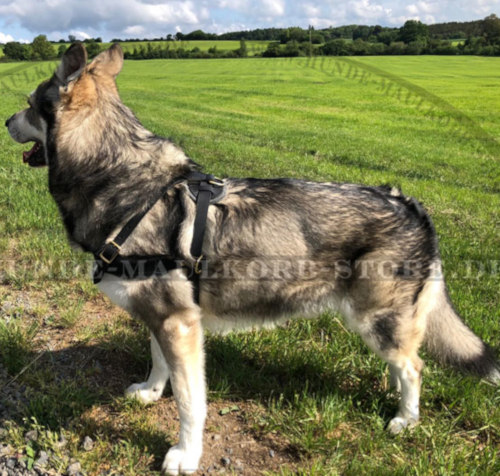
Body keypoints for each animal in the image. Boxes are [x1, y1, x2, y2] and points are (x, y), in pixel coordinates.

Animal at [4, 43, 500, 472]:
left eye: (28, 104)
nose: (7, 121)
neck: (125, 184)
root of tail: (410, 202)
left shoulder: (180, 327)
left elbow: (190, 403)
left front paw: (185, 455)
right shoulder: (162, 319)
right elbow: (158, 363)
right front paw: (149, 391)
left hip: (375, 320)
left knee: (414, 367)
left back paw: (404, 420)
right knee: (406, 364)